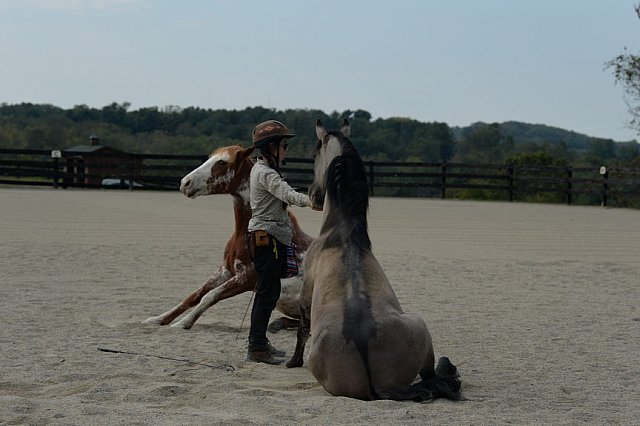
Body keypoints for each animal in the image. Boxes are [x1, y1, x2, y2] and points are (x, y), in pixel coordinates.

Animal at [144, 145, 316, 332]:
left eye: (222, 162)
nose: (185, 183)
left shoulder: (247, 279)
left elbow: (210, 296)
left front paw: (183, 323)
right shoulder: (226, 270)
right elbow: (195, 295)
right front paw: (157, 319)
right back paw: (278, 324)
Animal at [288, 120, 462, 402]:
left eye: (314, 154)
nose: (313, 196)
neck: (343, 231)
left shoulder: (306, 292)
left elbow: (301, 329)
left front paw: (292, 362)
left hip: (422, 326)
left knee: (430, 375)